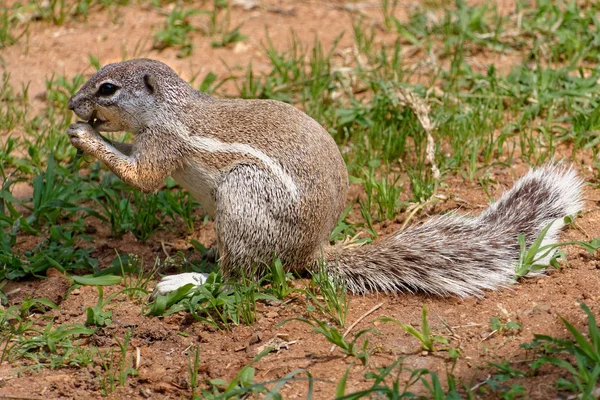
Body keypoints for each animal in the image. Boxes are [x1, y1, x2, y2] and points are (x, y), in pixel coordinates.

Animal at [67, 58, 580, 296]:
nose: (73, 104)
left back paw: (187, 280)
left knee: (240, 279)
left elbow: (143, 176)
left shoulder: (165, 142)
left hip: (244, 195)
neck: (171, 107)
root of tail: (312, 252)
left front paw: (85, 137)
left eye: (107, 89)